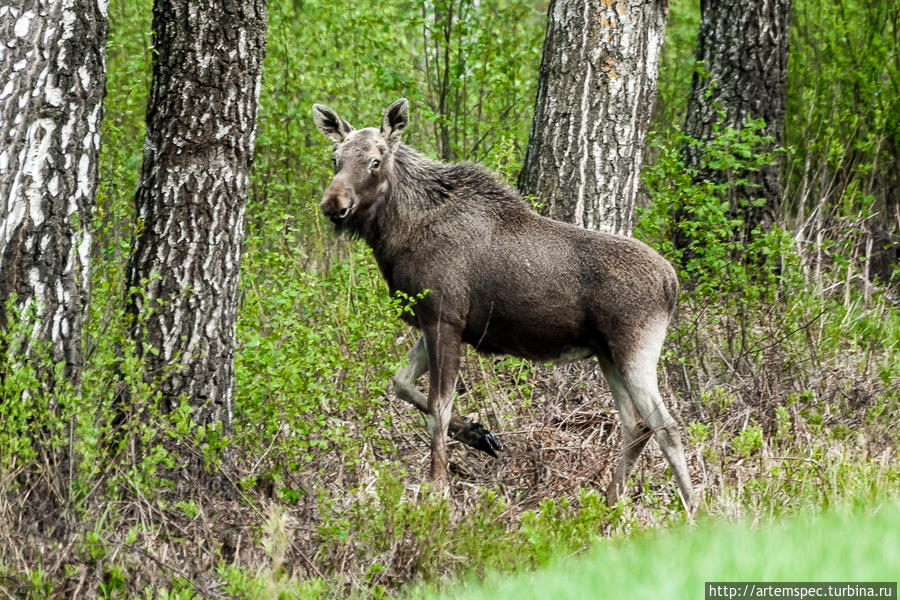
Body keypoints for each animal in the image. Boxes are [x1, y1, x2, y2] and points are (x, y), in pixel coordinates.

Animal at [312, 98, 696, 510]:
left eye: (375, 160)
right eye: (335, 158)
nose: (333, 204)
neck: (397, 237)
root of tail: (672, 283)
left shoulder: (444, 319)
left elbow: (437, 407)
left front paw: (438, 489)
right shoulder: (436, 321)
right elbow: (401, 383)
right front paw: (478, 435)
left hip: (635, 350)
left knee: (667, 427)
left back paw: (695, 509)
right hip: (607, 354)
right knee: (635, 424)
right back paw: (609, 502)